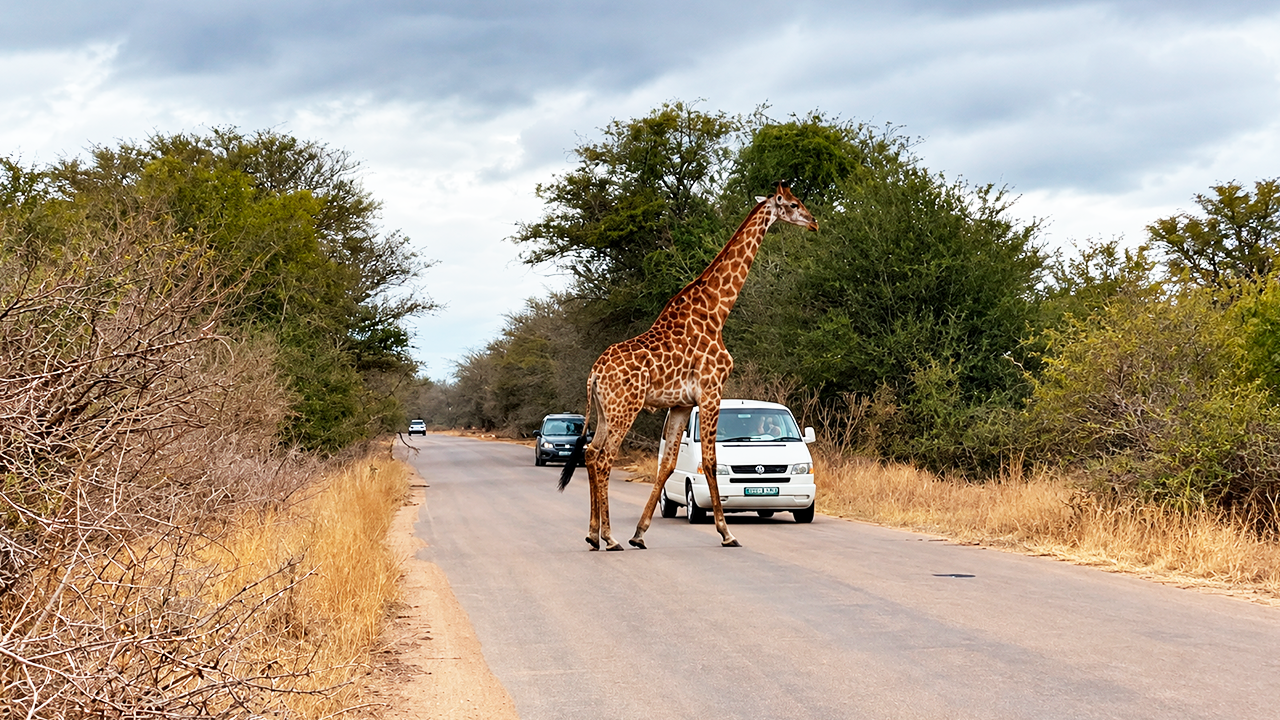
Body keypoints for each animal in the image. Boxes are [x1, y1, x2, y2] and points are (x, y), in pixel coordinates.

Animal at [558, 183, 818, 550]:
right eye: (794, 204)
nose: (814, 223)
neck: (717, 311)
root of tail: (594, 373)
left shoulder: (681, 403)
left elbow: (668, 464)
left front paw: (640, 533)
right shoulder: (711, 389)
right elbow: (710, 461)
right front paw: (727, 533)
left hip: (607, 410)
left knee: (592, 454)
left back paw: (593, 534)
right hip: (626, 407)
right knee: (605, 458)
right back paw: (609, 537)